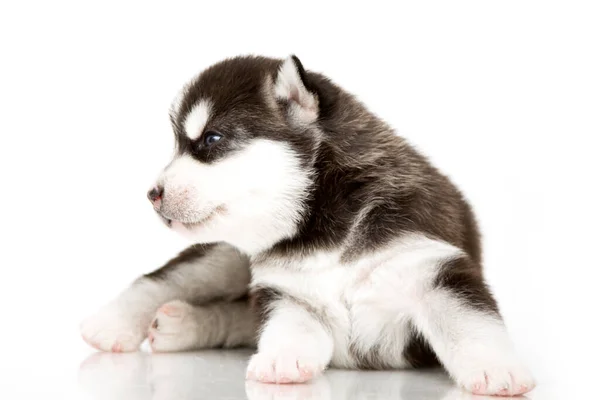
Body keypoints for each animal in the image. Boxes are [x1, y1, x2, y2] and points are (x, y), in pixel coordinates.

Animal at [79, 56, 536, 396]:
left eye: (211, 139)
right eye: (177, 145)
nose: (151, 194)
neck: (322, 222)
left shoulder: (431, 265)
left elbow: (467, 322)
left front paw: (498, 370)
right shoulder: (288, 291)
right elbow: (289, 326)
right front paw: (283, 359)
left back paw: (182, 325)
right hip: (227, 257)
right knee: (166, 279)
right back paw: (113, 324)